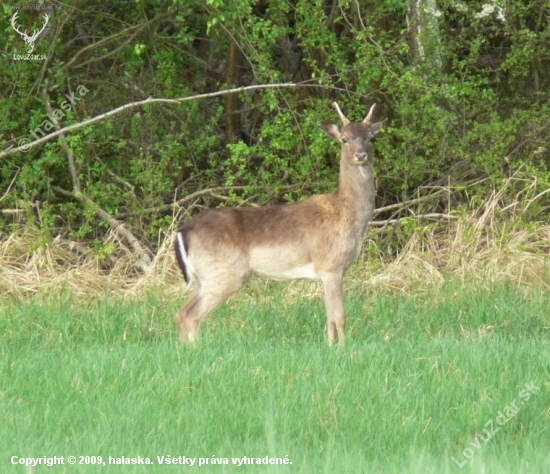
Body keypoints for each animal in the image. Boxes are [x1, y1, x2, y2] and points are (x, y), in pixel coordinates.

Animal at [175, 103, 386, 344]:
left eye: (371, 138)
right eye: (344, 139)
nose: (360, 155)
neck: (348, 214)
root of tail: (183, 232)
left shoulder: (329, 272)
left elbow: (329, 317)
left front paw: (330, 346)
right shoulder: (331, 265)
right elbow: (340, 316)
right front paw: (343, 348)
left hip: (205, 277)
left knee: (183, 313)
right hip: (223, 274)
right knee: (190, 315)